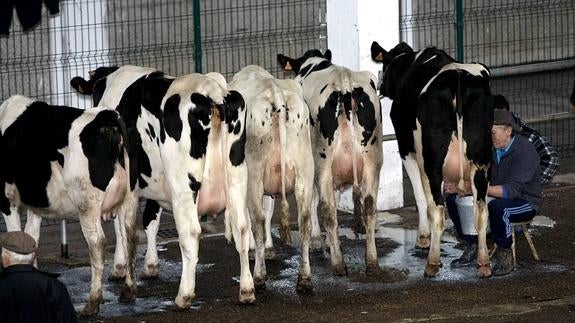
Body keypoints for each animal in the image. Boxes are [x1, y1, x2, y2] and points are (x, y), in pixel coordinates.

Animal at [0, 94, 137, 316]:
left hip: (87, 203)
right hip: (130, 198)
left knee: (97, 243)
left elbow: (14, 236)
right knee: (129, 236)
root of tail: (106, 117)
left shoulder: (7, 199)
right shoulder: (37, 204)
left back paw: (92, 302)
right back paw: (129, 291)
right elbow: (31, 238)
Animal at [70, 66, 254, 308]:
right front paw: (150, 265)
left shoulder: (128, 187)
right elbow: (150, 221)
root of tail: (212, 91)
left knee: (191, 233)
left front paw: (121, 270)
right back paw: (247, 290)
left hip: (182, 185)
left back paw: (184, 295)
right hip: (236, 177)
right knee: (242, 228)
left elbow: (125, 230)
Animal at [231, 65, 316, 292]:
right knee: (304, 221)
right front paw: (269, 249)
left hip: (254, 173)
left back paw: (259, 276)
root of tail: (276, 93)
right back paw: (304, 278)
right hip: (305, 171)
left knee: (258, 221)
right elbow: (269, 211)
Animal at [278, 50, 382, 276]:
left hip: (322, 160)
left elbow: (314, 200)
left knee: (327, 209)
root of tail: (345, 82)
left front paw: (317, 241)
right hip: (373, 159)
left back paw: (338, 263)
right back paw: (371, 261)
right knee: (369, 206)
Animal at [374, 41, 496, 278]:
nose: (380, 87)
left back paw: (432, 262)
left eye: (385, 65)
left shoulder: (407, 150)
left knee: (437, 210)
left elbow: (421, 198)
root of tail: (457, 78)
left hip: (432, 162)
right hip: (481, 159)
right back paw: (484, 263)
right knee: (481, 209)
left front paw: (423, 238)